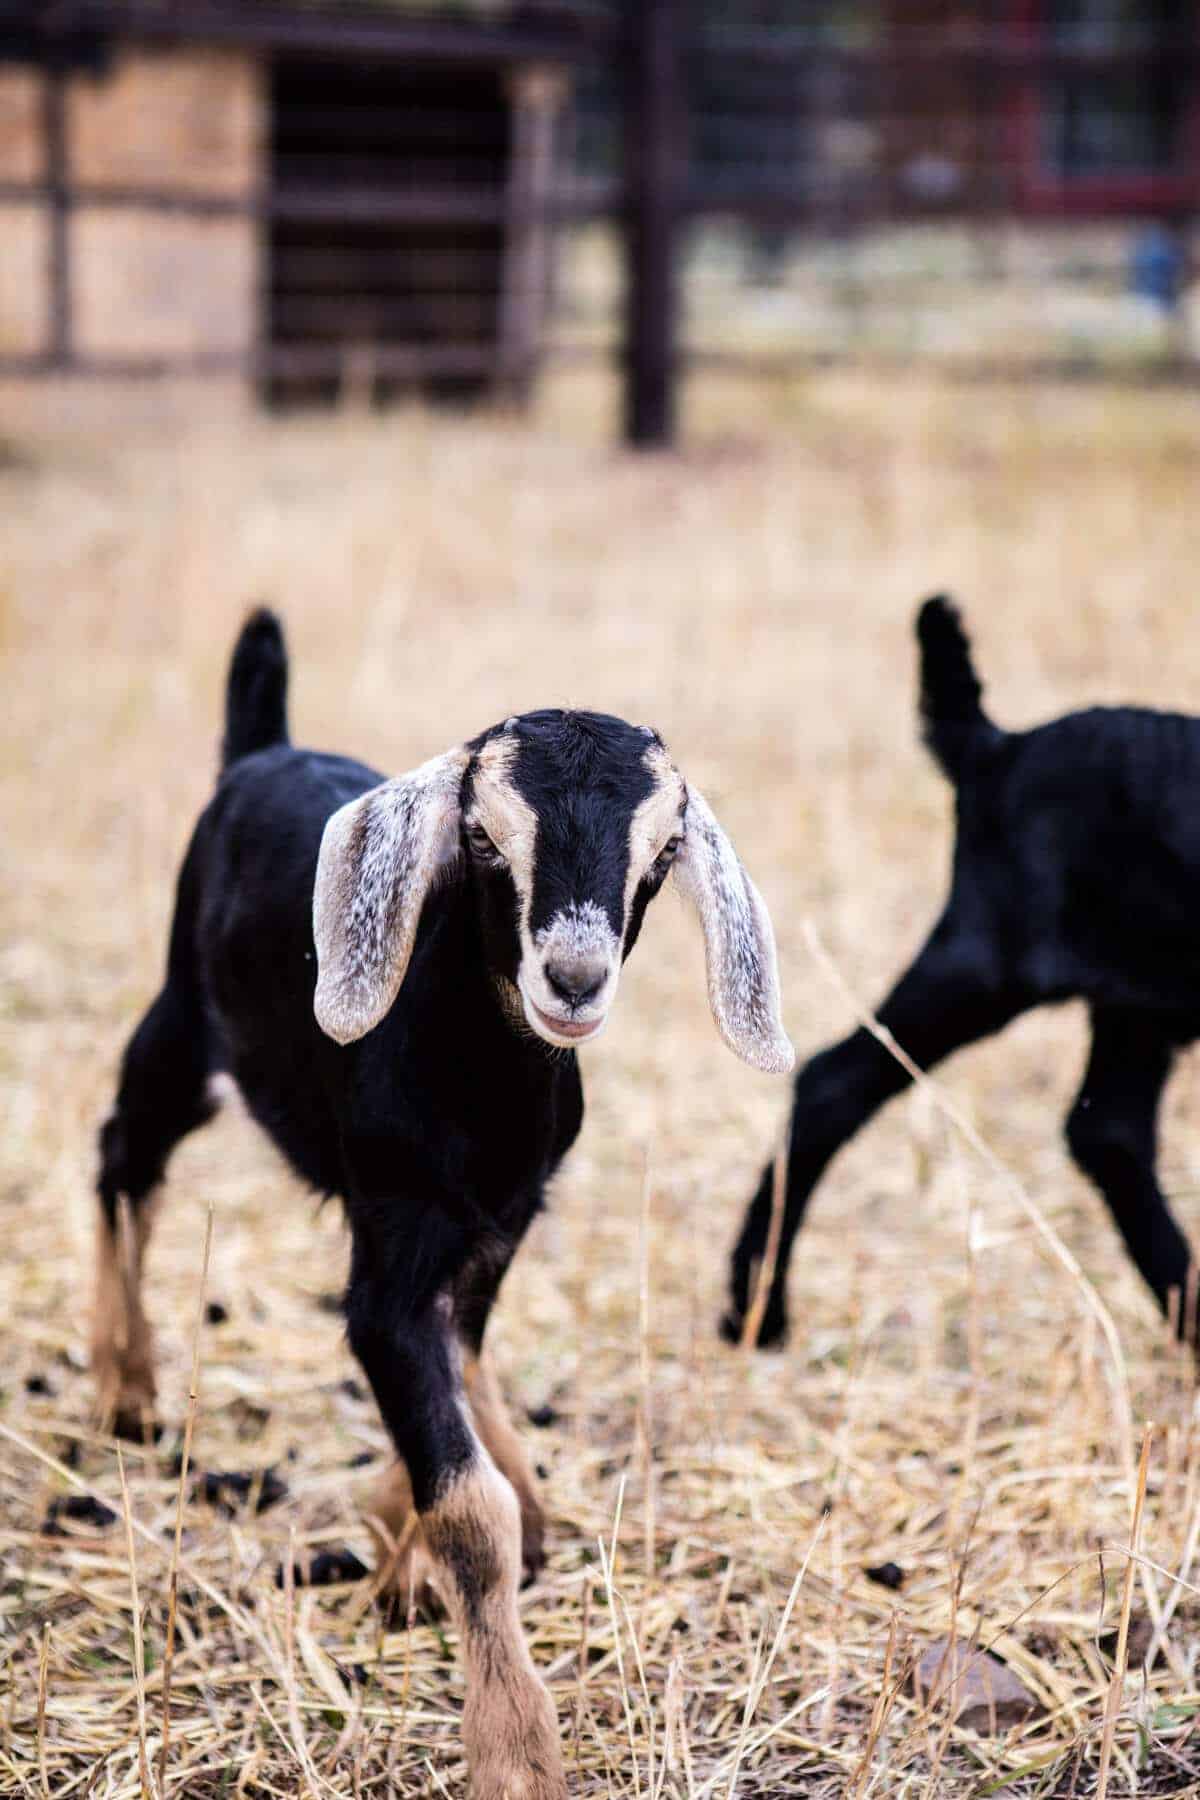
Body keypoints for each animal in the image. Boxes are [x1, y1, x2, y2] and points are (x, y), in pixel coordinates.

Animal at [94, 610, 793, 1800]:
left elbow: (459, 1360)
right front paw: (516, 1749)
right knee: (121, 1162)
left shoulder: (501, 1219)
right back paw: (127, 1384)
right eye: (482, 841)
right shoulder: (391, 1259)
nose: (572, 979)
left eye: (660, 855)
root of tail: (261, 749)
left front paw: (410, 1528)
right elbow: (468, 1501)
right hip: (182, 1026)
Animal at [724, 594, 1198, 1354]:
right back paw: (756, 1308)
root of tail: (999, 749)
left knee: (1108, 1131)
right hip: (986, 964)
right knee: (833, 1080)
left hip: (1136, 1000)